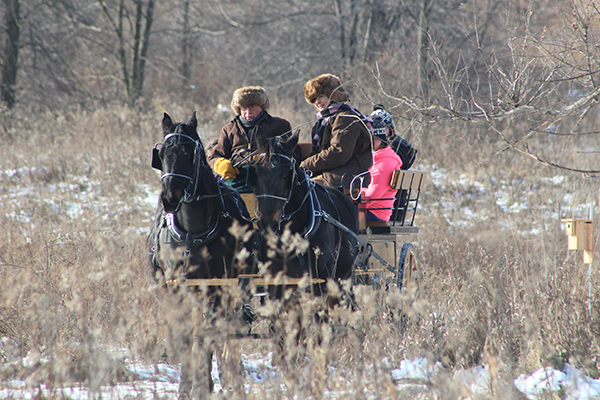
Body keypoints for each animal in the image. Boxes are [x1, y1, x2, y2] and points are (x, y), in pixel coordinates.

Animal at [149, 111, 254, 396]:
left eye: (189, 154)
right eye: (161, 153)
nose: (169, 199)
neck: (193, 231)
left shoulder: (217, 285)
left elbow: (210, 331)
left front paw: (206, 381)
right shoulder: (177, 286)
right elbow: (188, 334)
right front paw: (188, 383)